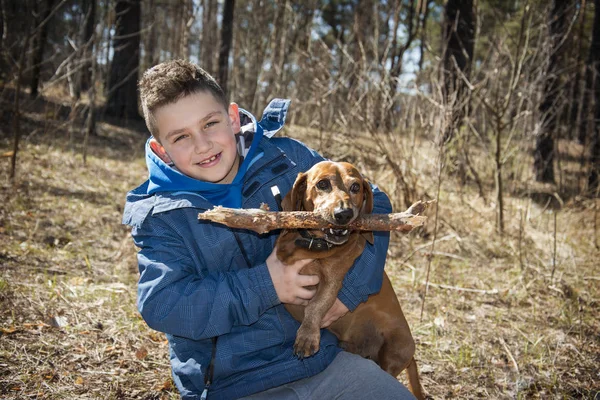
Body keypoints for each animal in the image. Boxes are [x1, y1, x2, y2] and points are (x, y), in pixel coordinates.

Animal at [278, 161, 426, 398]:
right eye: (322, 184)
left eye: (356, 187)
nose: (344, 214)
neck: (314, 247)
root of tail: (412, 354)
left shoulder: (332, 283)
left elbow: (315, 306)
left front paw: (307, 336)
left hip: (394, 351)